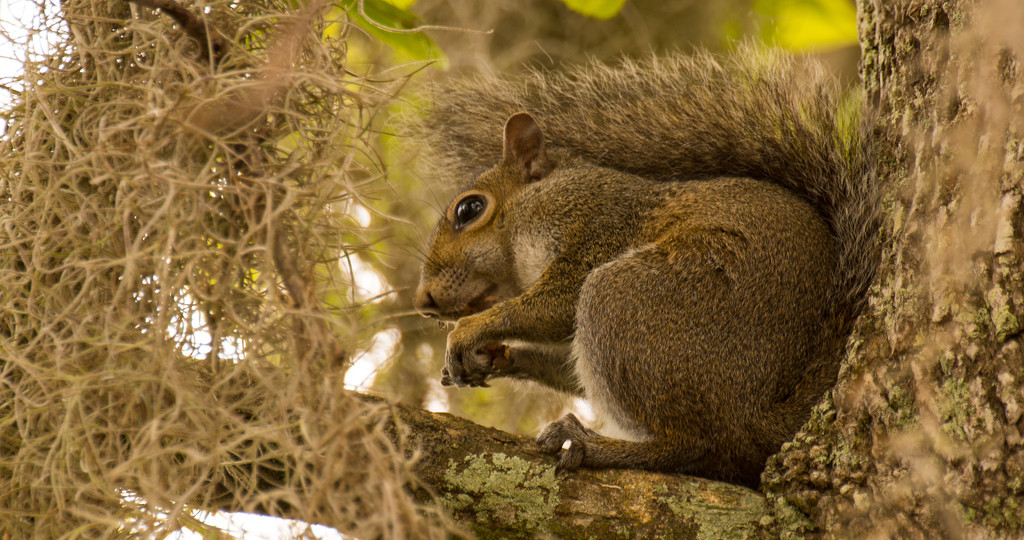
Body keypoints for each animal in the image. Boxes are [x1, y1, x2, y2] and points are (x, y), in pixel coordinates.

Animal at [411, 48, 876, 487]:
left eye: (469, 209)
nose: (424, 302)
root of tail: (761, 415)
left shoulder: (595, 222)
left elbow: (558, 303)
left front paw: (469, 332)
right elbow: (565, 362)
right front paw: (497, 357)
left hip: (627, 299)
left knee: (699, 445)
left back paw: (591, 445)